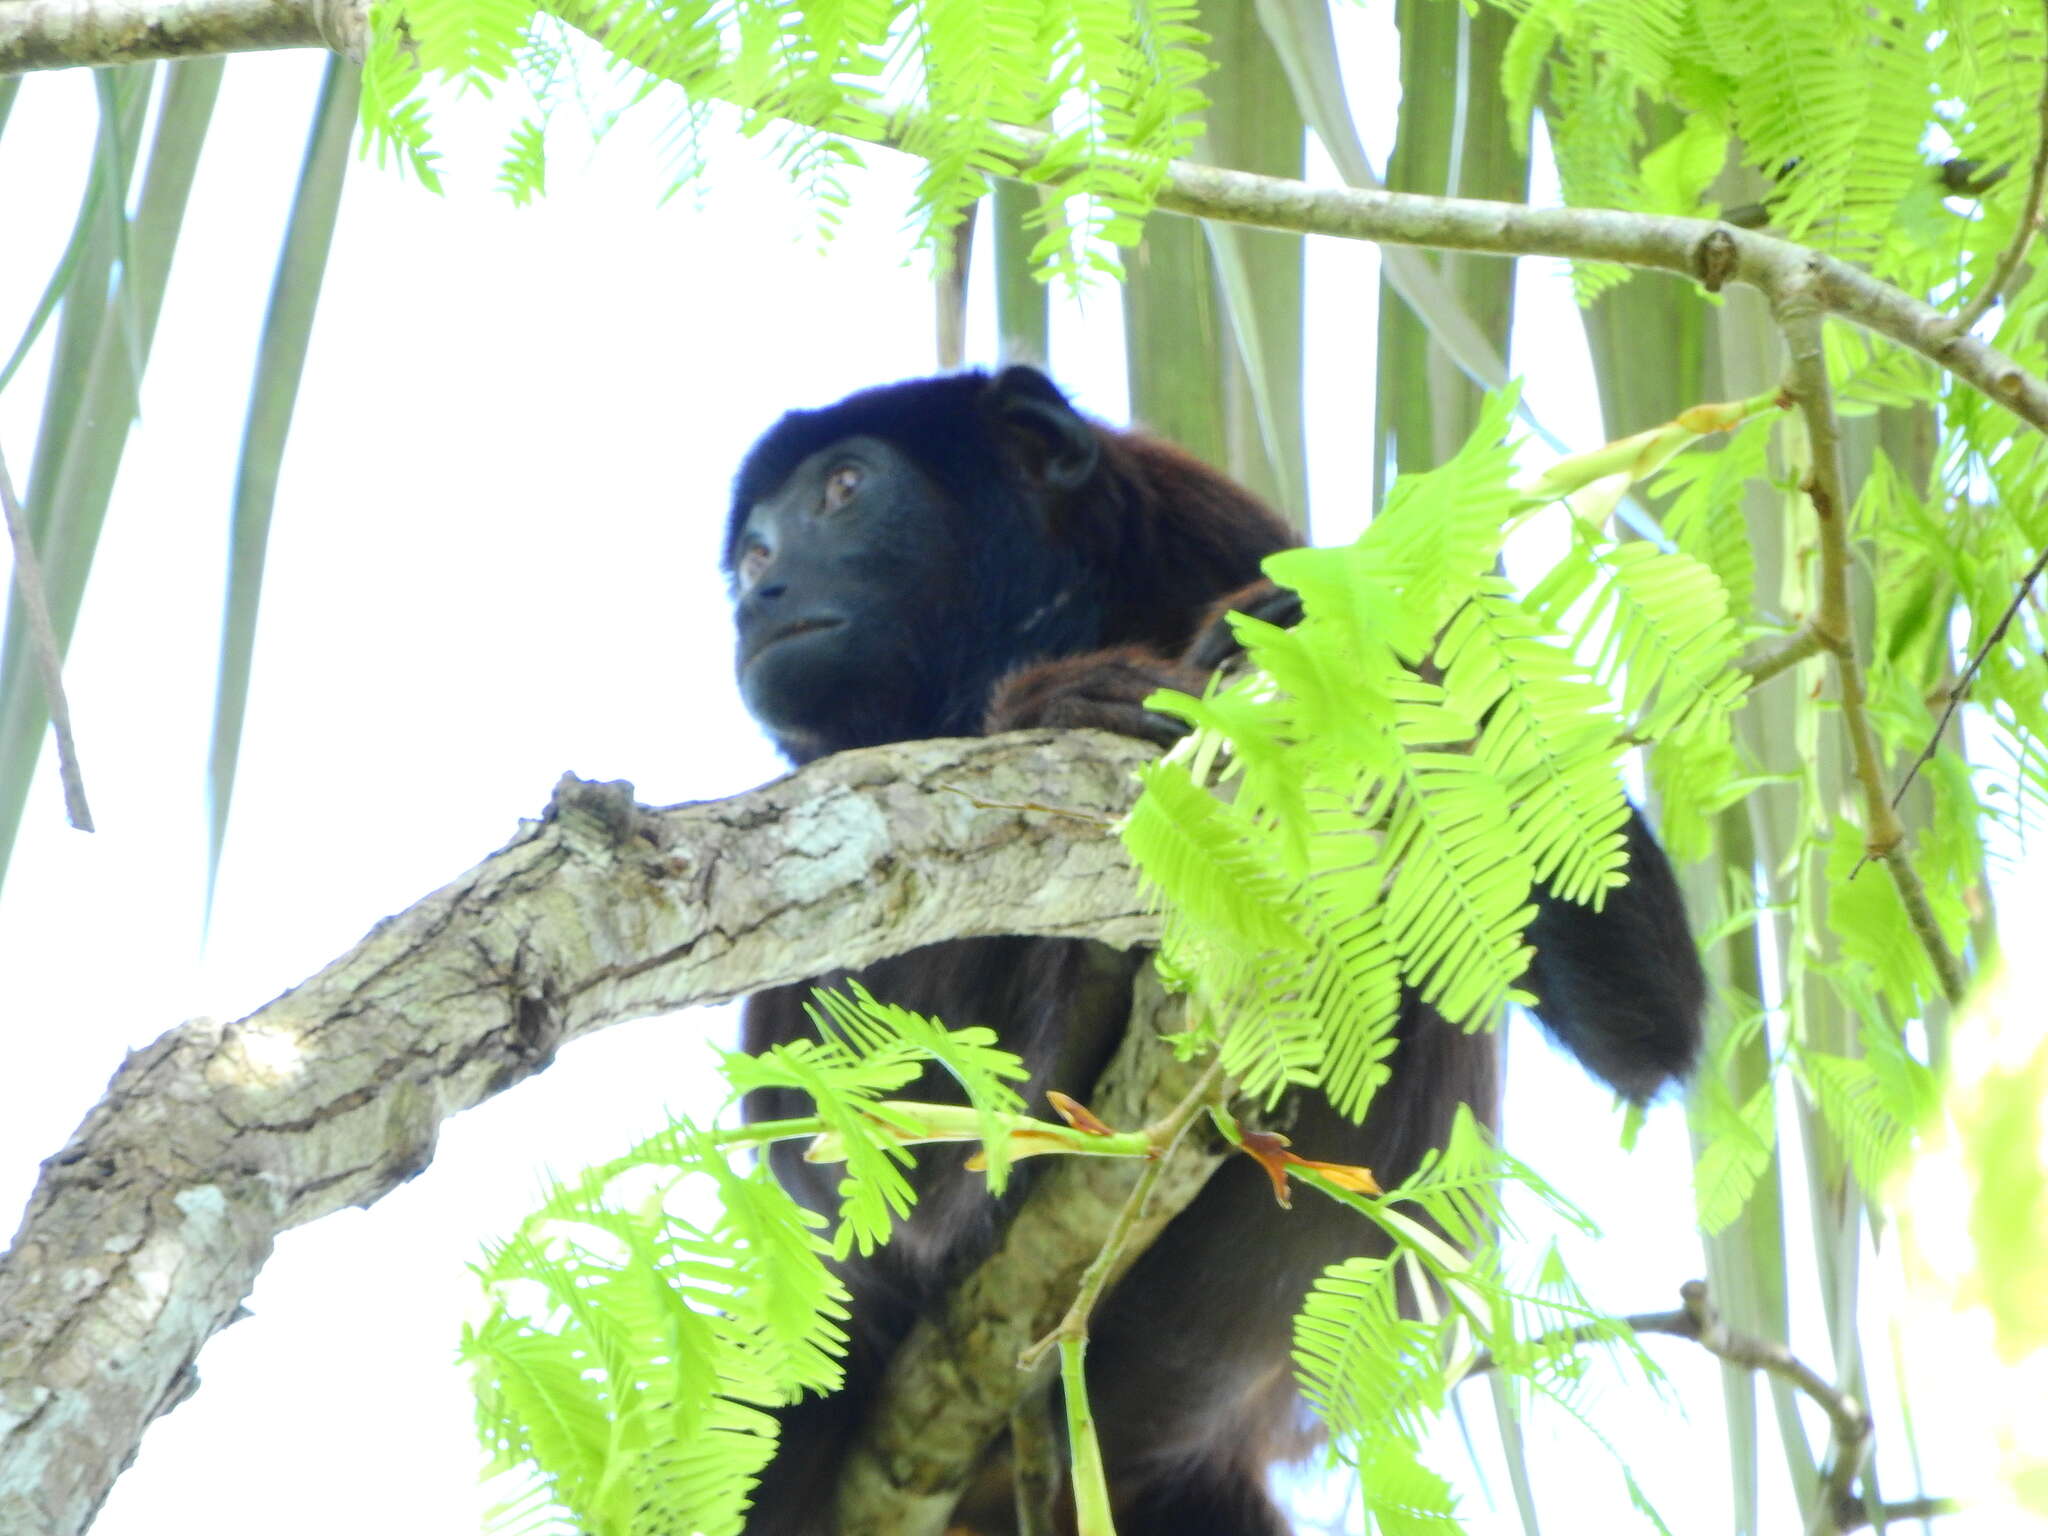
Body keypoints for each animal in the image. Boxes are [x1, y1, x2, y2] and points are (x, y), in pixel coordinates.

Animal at [729, 370, 1703, 1536]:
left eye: (842, 488)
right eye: (750, 546)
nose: (755, 592)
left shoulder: (1235, 545)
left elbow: (1647, 1032)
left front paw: (1398, 662)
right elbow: (814, 1122)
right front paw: (1063, 696)